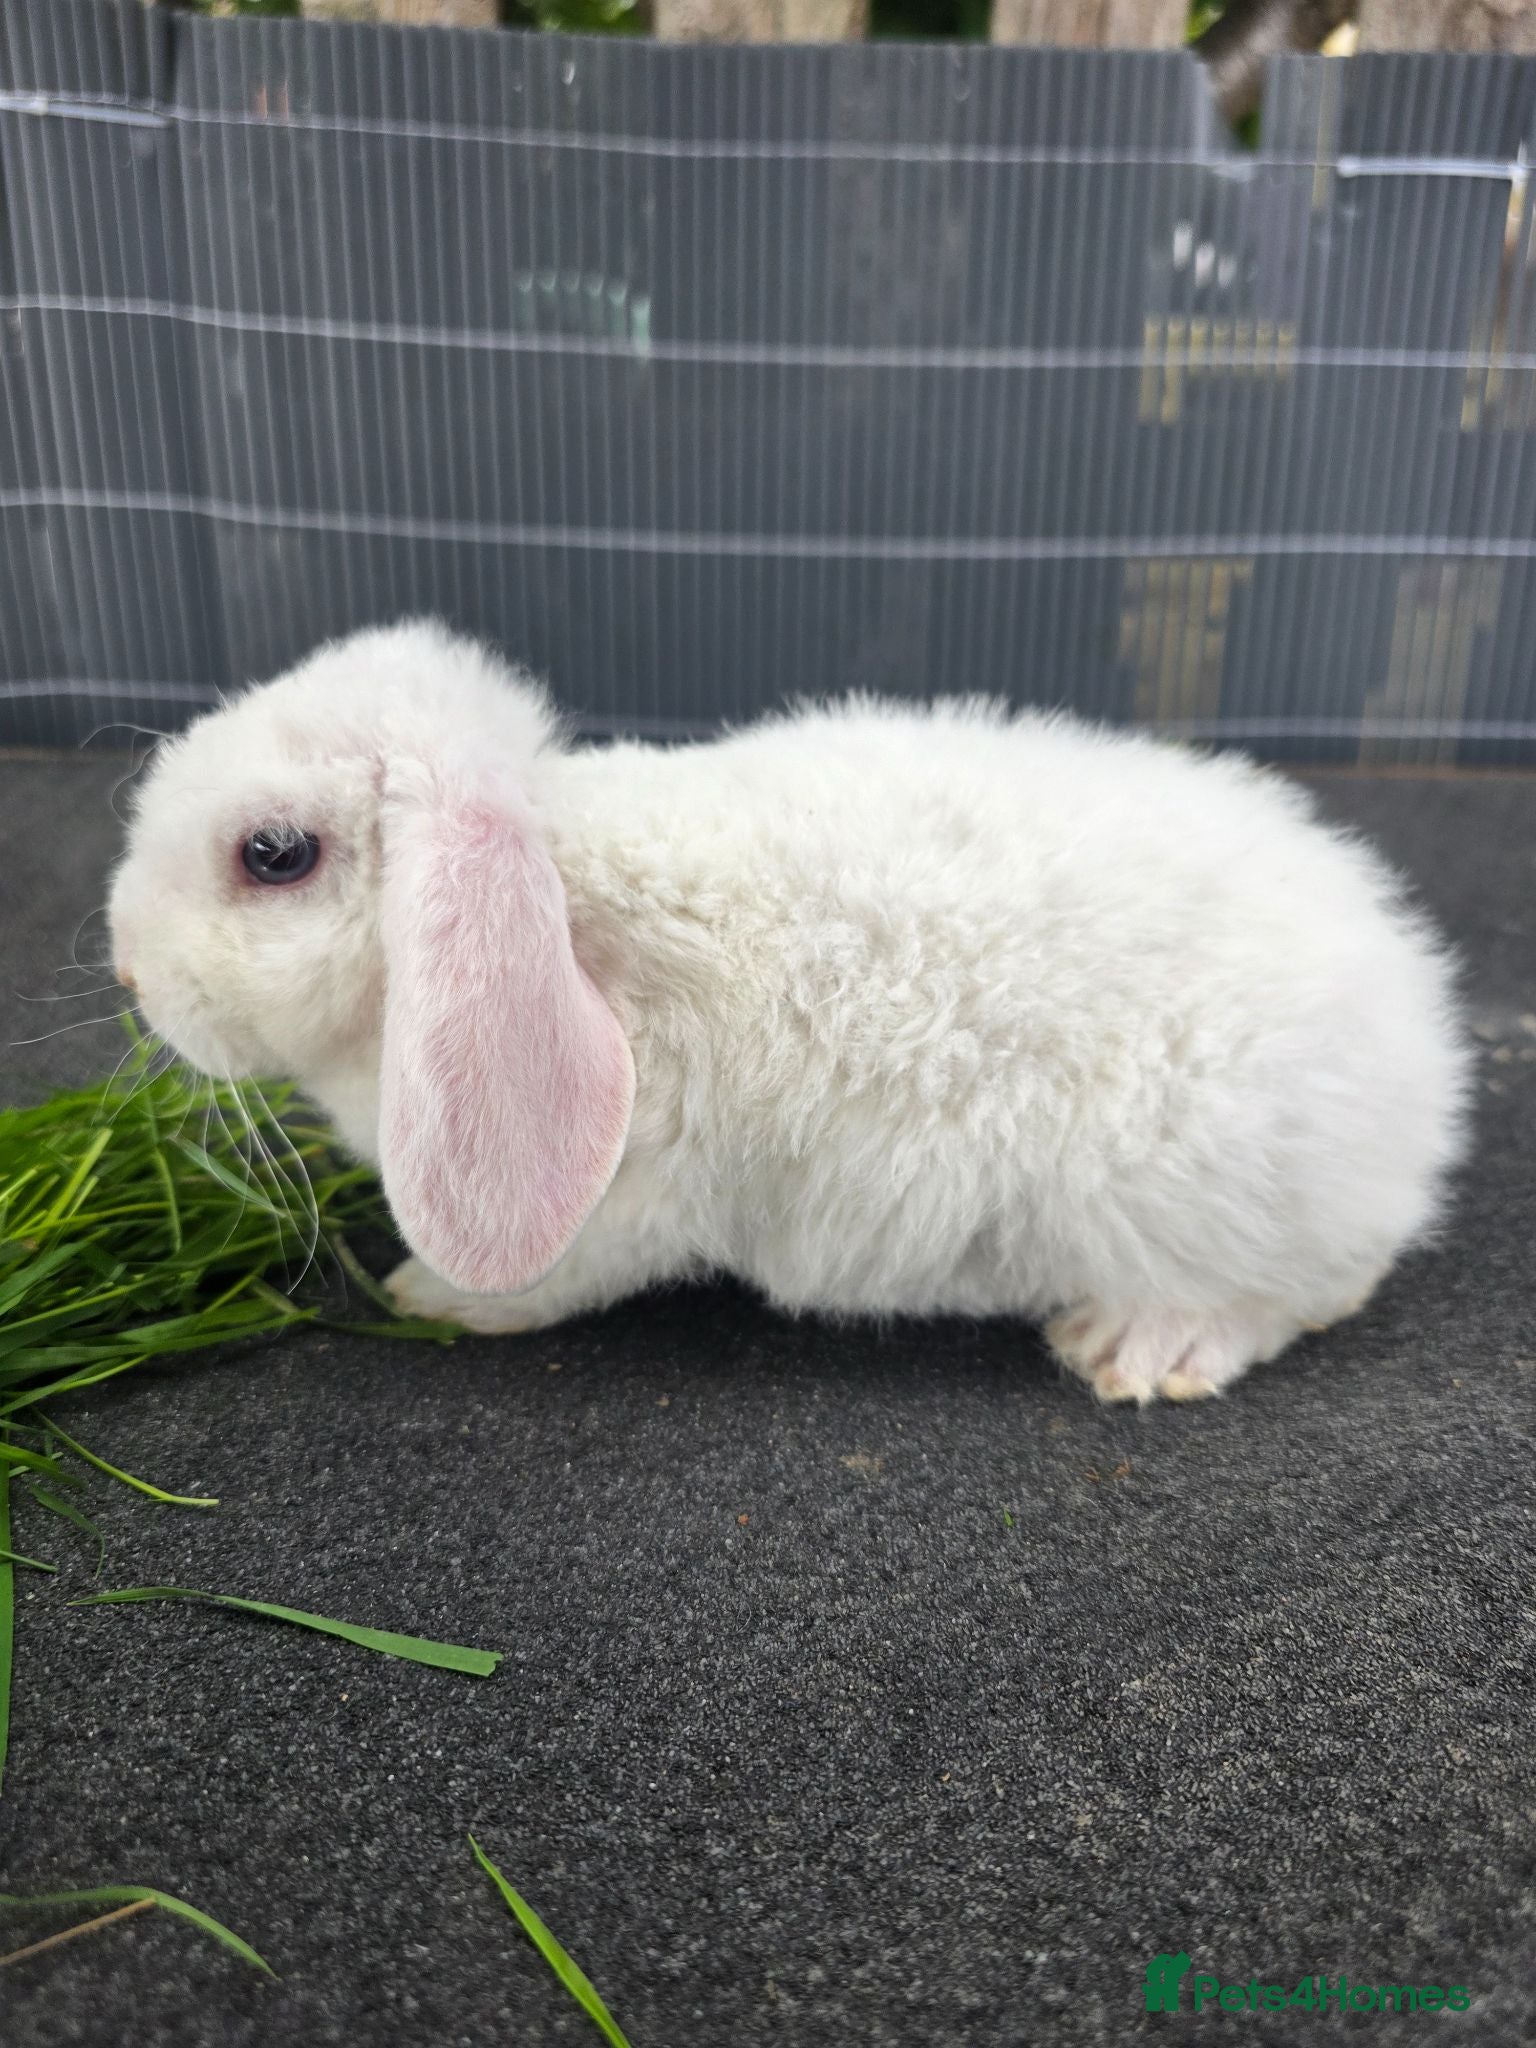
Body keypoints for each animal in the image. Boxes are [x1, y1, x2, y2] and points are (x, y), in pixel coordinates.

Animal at [108, 620, 1469, 1405]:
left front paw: (426, 1294)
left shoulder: (625, 1202)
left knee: (1306, 1290)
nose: (125, 969)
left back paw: (1140, 1352)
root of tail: (1423, 1038)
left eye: (273, 855)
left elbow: (542, 1278)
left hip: (1210, 1194)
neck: (567, 911)